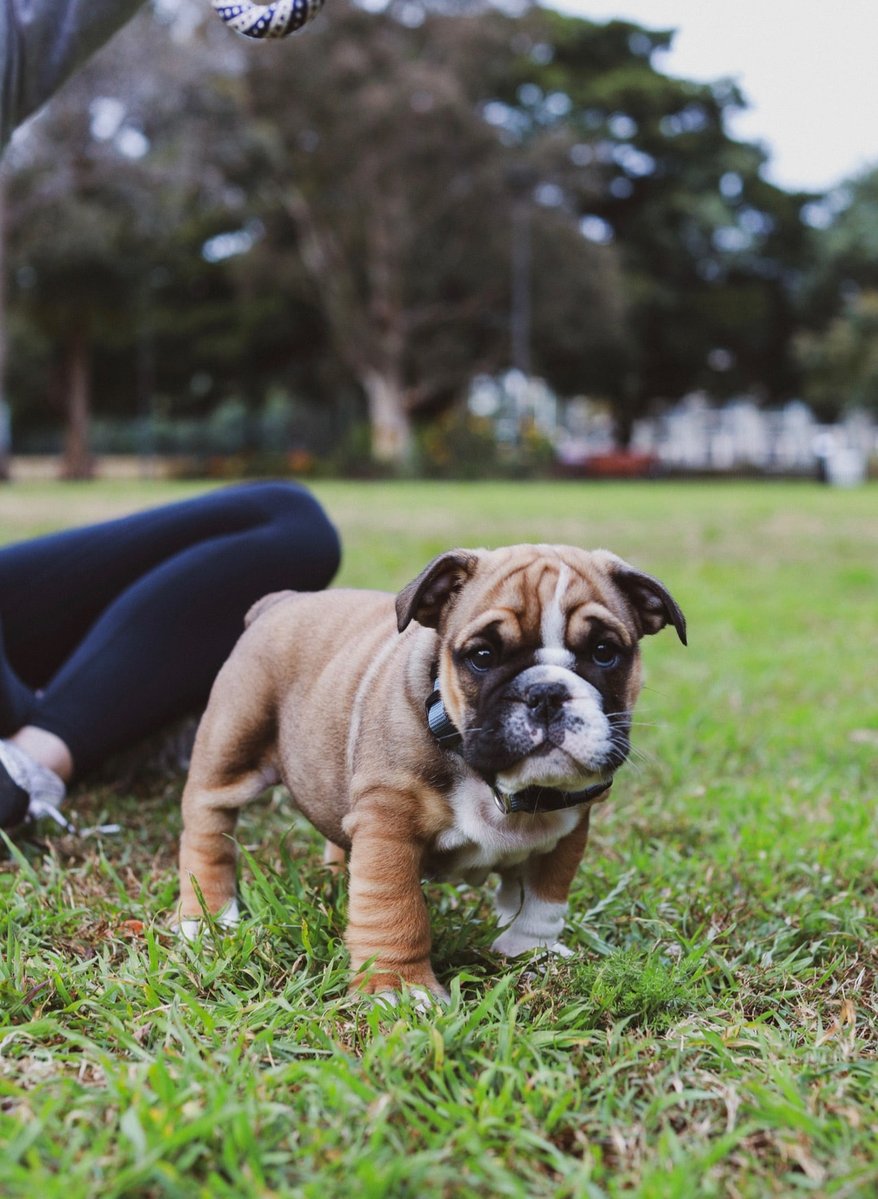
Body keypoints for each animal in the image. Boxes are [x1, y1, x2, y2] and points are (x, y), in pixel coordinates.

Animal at [178, 549, 686, 997]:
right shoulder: (388, 828)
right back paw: (206, 918)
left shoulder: (567, 830)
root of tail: (279, 602)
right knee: (208, 826)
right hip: (233, 746)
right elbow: (394, 909)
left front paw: (530, 952)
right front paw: (398, 989)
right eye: (482, 656)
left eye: (604, 653)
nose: (545, 694)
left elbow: (544, 899)